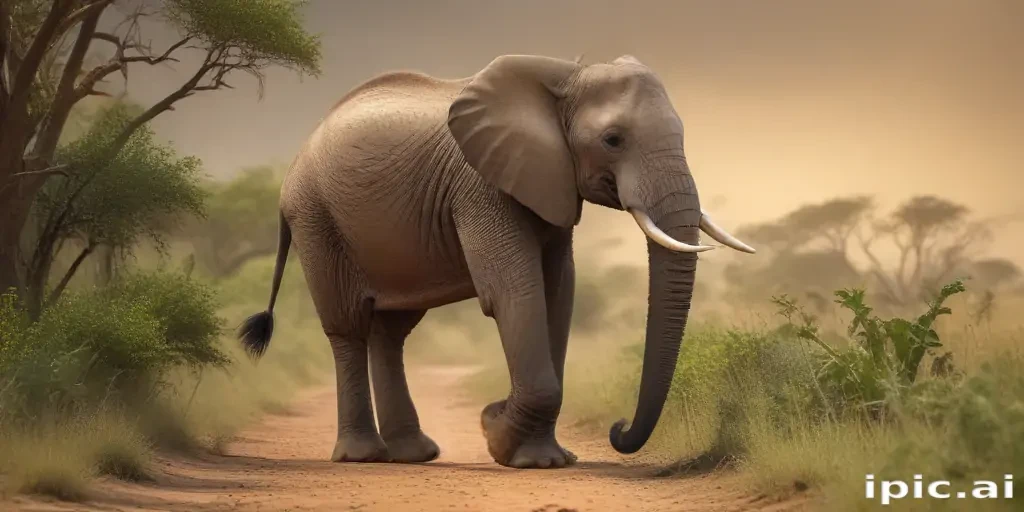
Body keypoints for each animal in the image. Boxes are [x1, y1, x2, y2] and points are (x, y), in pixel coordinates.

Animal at [237, 54, 755, 469]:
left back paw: (415, 454)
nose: (618, 427)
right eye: (613, 139)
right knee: (347, 328)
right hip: (316, 218)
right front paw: (501, 439)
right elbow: (512, 291)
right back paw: (363, 456)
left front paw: (545, 457)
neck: (564, 75)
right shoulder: (481, 185)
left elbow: (558, 292)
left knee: (391, 331)